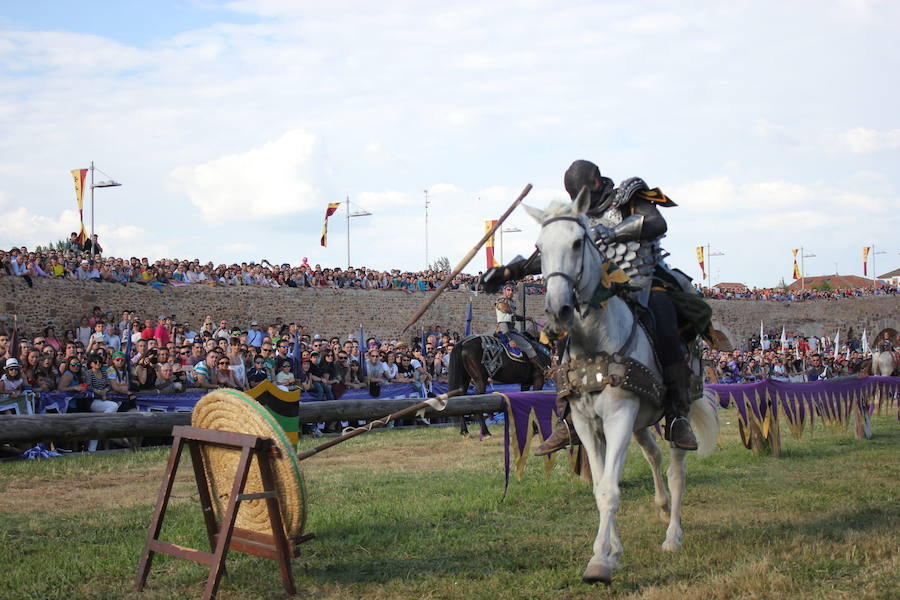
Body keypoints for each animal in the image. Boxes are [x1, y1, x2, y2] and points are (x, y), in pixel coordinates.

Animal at [524, 193, 720, 584]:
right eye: (539, 247)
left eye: (577, 242)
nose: (557, 311)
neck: (595, 343)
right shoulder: (587, 424)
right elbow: (600, 486)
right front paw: (611, 551)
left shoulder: (618, 416)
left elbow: (609, 489)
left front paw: (600, 563)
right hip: (640, 422)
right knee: (653, 455)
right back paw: (661, 508)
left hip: (672, 410)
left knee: (675, 470)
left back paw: (673, 534)